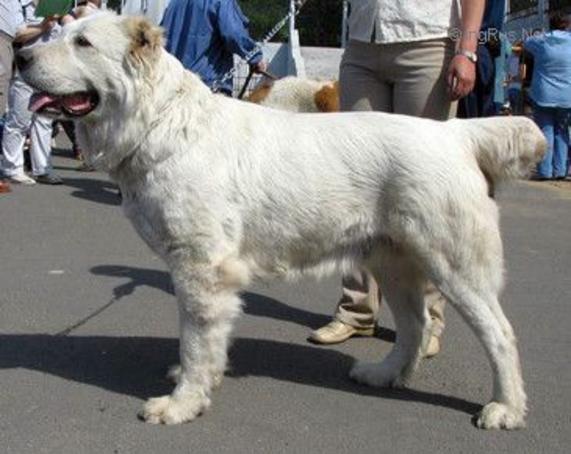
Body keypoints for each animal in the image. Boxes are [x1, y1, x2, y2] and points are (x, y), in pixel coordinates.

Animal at [18, 13, 546, 429]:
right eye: (59, 33)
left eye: (83, 43)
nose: (20, 55)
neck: (161, 121)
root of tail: (455, 133)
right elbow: (205, 342)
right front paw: (197, 383)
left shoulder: (201, 269)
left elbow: (195, 340)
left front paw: (182, 403)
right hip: (392, 261)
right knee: (414, 326)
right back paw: (384, 374)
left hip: (455, 265)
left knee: (498, 334)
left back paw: (505, 408)